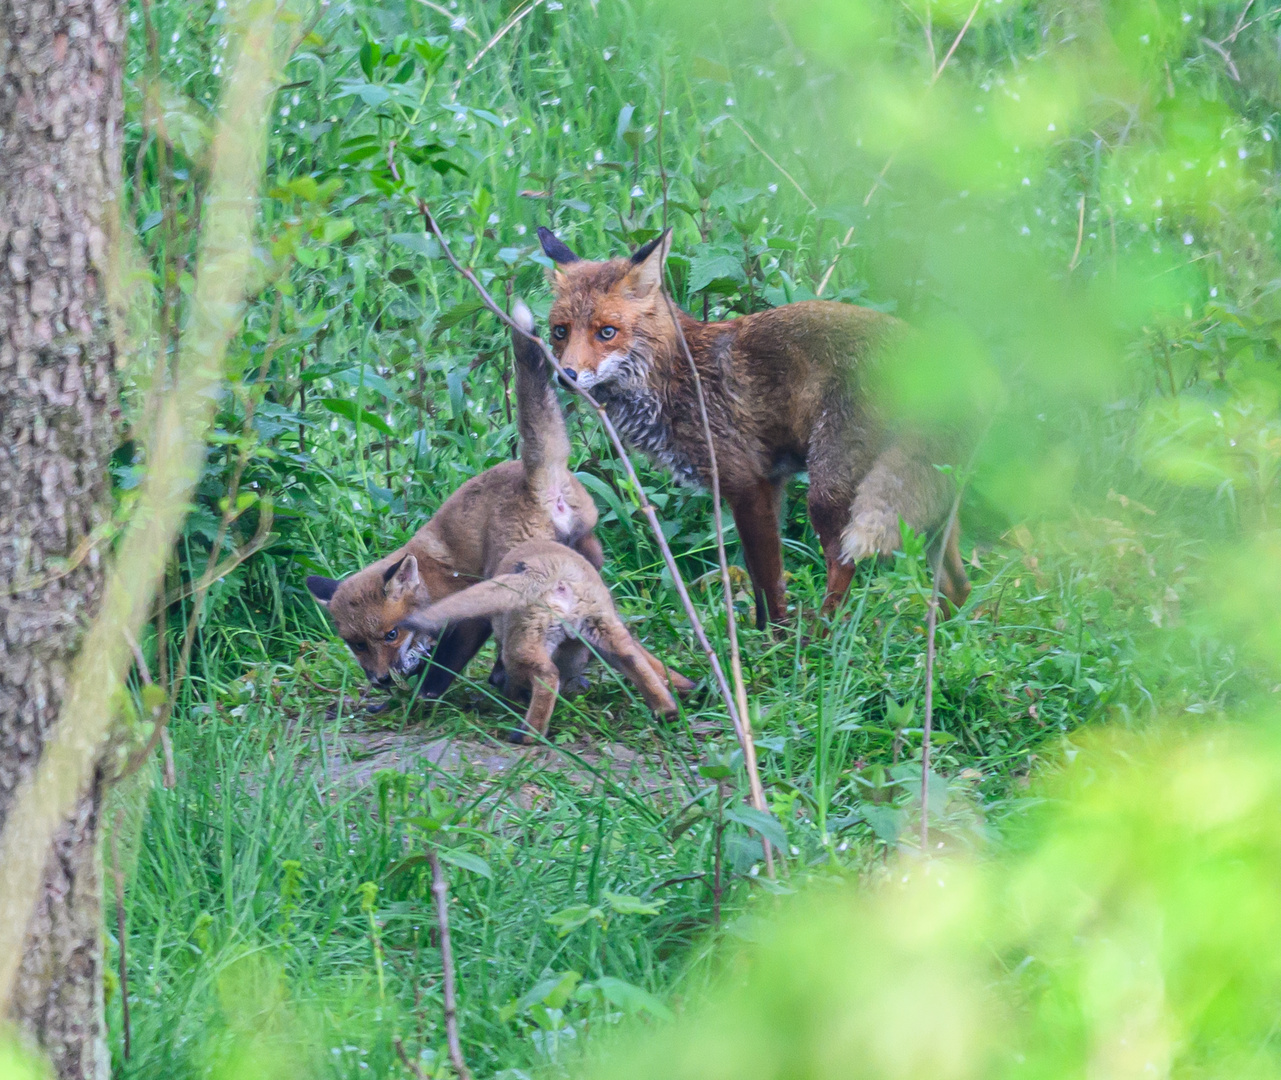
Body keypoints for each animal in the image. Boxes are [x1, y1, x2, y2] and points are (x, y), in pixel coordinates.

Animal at [304, 302, 599, 702]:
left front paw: (421, 695)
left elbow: (444, 663)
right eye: (356, 644)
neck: (429, 585)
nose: (379, 680)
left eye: (390, 634)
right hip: (587, 552)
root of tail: (536, 478)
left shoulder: (467, 612)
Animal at [399, 540, 696, 743]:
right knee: (636, 664)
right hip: (607, 635)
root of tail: (555, 578)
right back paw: (668, 711)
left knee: (546, 676)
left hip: (522, 647)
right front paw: (686, 686)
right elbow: (654, 664)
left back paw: (528, 734)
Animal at [535, 230, 963, 632]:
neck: (676, 376)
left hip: (828, 491)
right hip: (930, 499)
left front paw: (773, 642)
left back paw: (819, 638)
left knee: (844, 565)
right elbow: (759, 580)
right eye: (560, 331)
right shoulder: (768, 483)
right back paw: (942, 634)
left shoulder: (746, 483)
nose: (565, 375)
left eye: (606, 332)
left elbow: (769, 579)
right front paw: (761, 635)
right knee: (958, 584)